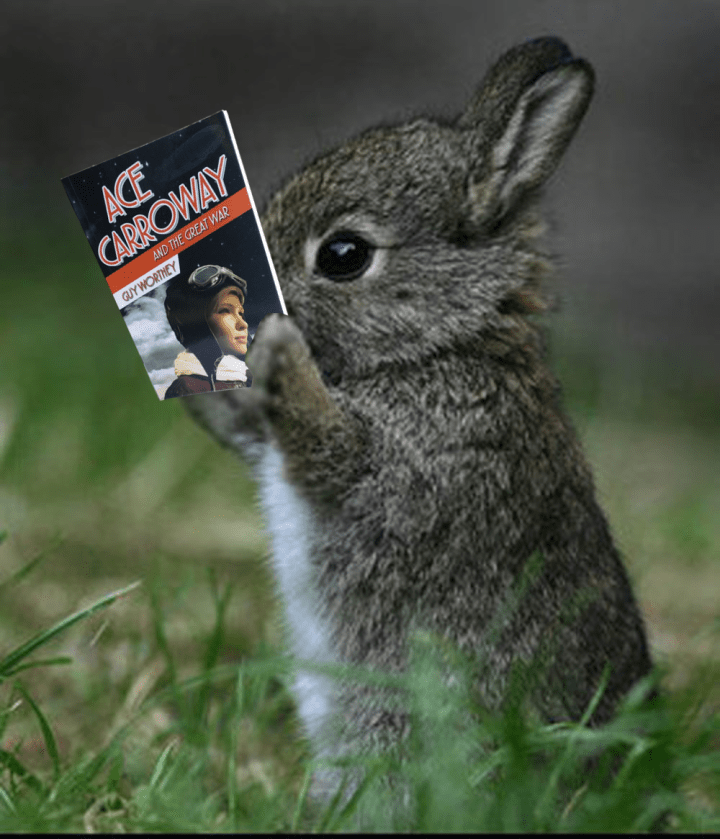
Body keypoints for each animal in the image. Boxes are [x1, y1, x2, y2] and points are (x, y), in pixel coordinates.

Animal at [185, 36, 654, 796]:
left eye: (344, 255)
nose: (255, 304)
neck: (443, 343)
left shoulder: (405, 467)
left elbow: (329, 448)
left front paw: (280, 349)